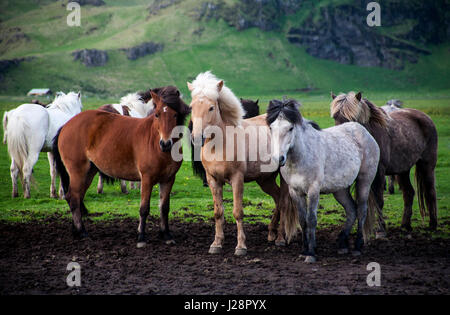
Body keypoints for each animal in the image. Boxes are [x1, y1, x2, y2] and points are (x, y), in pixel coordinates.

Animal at [52, 86, 190, 247]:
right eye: (157, 115)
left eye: (175, 115)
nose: (166, 143)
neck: (156, 144)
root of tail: (66, 125)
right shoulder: (147, 179)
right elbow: (144, 208)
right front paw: (141, 237)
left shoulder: (168, 179)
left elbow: (164, 208)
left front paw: (166, 235)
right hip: (77, 171)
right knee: (73, 198)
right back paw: (82, 232)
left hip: (89, 172)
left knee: (77, 197)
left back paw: (76, 231)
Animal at [187, 72, 296, 256]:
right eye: (191, 107)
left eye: (211, 107)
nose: (196, 137)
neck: (220, 144)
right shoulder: (212, 180)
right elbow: (218, 212)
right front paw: (216, 244)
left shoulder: (237, 179)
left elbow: (238, 212)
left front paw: (241, 246)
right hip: (265, 179)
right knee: (277, 199)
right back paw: (271, 233)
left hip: (282, 176)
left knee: (284, 202)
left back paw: (280, 238)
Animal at [268, 99, 380, 264]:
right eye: (271, 127)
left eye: (290, 128)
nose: (279, 159)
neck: (300, 157)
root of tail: (364, 132)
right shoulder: (295, 191)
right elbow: (302, 220)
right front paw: (304, 250)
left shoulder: (313, 190)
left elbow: (311, 219)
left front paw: (311, 254)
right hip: (340, 189)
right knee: (351, 210)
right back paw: (342, 244)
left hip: (364, 182)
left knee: (361, 210)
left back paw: (357, 247)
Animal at [328, 90, 438, 235]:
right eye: (335, 116)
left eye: (352, 118)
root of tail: (425, 117)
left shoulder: (378, 173)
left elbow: (378, 200)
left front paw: (380, 230)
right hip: (403, 170)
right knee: (409, 193)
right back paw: (405, 225)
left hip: (427, 165)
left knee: (430, 191)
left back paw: (433, 225)